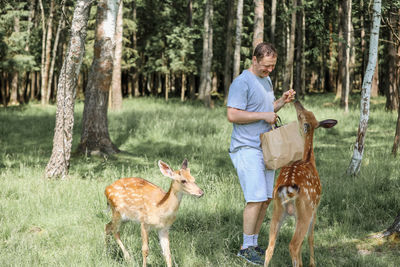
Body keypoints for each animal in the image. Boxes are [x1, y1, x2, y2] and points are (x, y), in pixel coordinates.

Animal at [266, 101, 338, 267]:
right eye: (301, 114)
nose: (296, 101)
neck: (308, 159)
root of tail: (287, 187)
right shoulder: (315, 208)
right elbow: (310, 238)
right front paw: (312, 263)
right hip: (306, 209)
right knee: (294, 244)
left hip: (278, 209)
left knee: (270, 247)